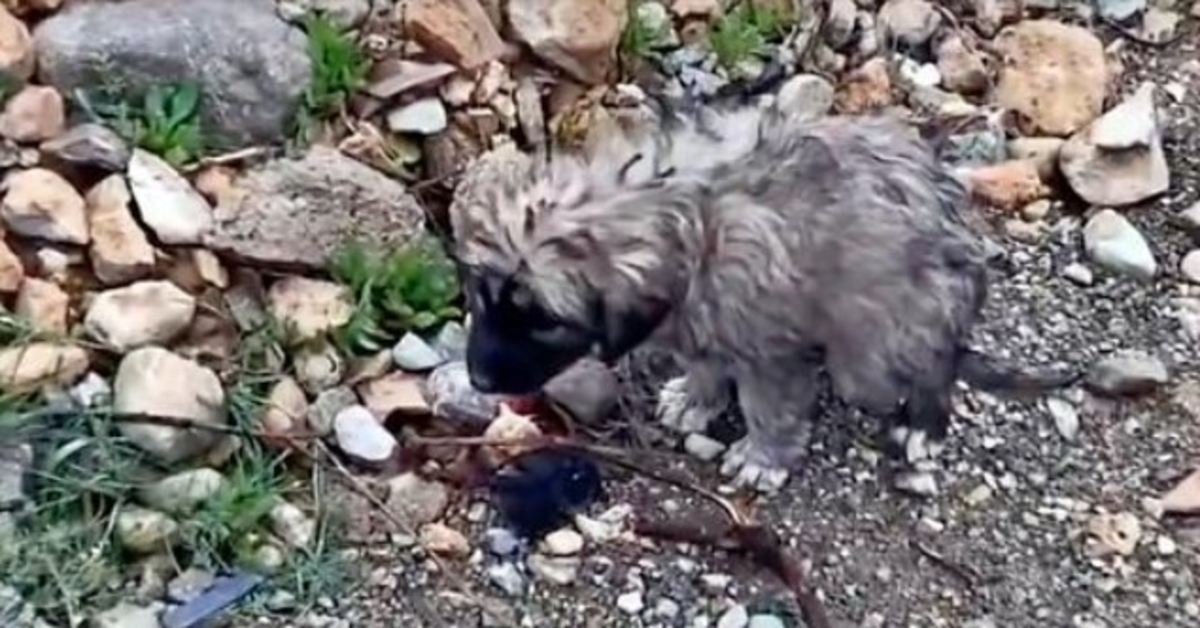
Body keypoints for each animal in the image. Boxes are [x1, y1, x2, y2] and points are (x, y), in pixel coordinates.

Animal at [448, 100, 1080, 494]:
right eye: (481, 296)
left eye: (543, 319)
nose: (477, 378)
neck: (686, 224)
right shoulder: (699, 324)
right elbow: (704, 363)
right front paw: (696, 400)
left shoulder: (771, 353)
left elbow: (770, 408)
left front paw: (762, 458)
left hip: (879, 345)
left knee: (932, 369)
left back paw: (924, 425)